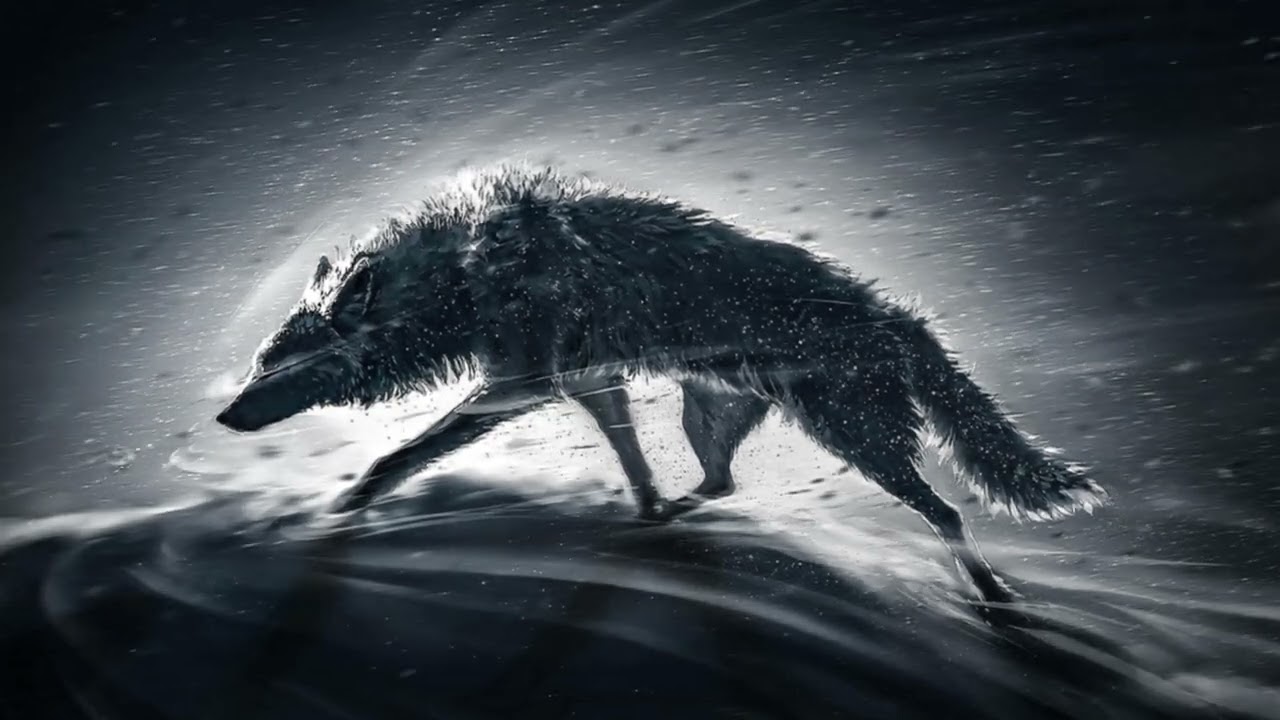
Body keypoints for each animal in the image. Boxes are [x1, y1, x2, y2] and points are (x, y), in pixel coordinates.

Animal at [215, 163, 1107, 603]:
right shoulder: (588, 383)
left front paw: (340, 507)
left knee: (947, 513)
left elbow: (396, 457)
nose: (224, 416)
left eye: (280, 367)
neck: (458, 280)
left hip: (856, 440)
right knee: (718, 483)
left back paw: (992, 596)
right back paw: (658, 523)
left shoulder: (520, 386)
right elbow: (631, 460)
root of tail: (901, 318)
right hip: (708, 415)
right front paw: (642, 510)